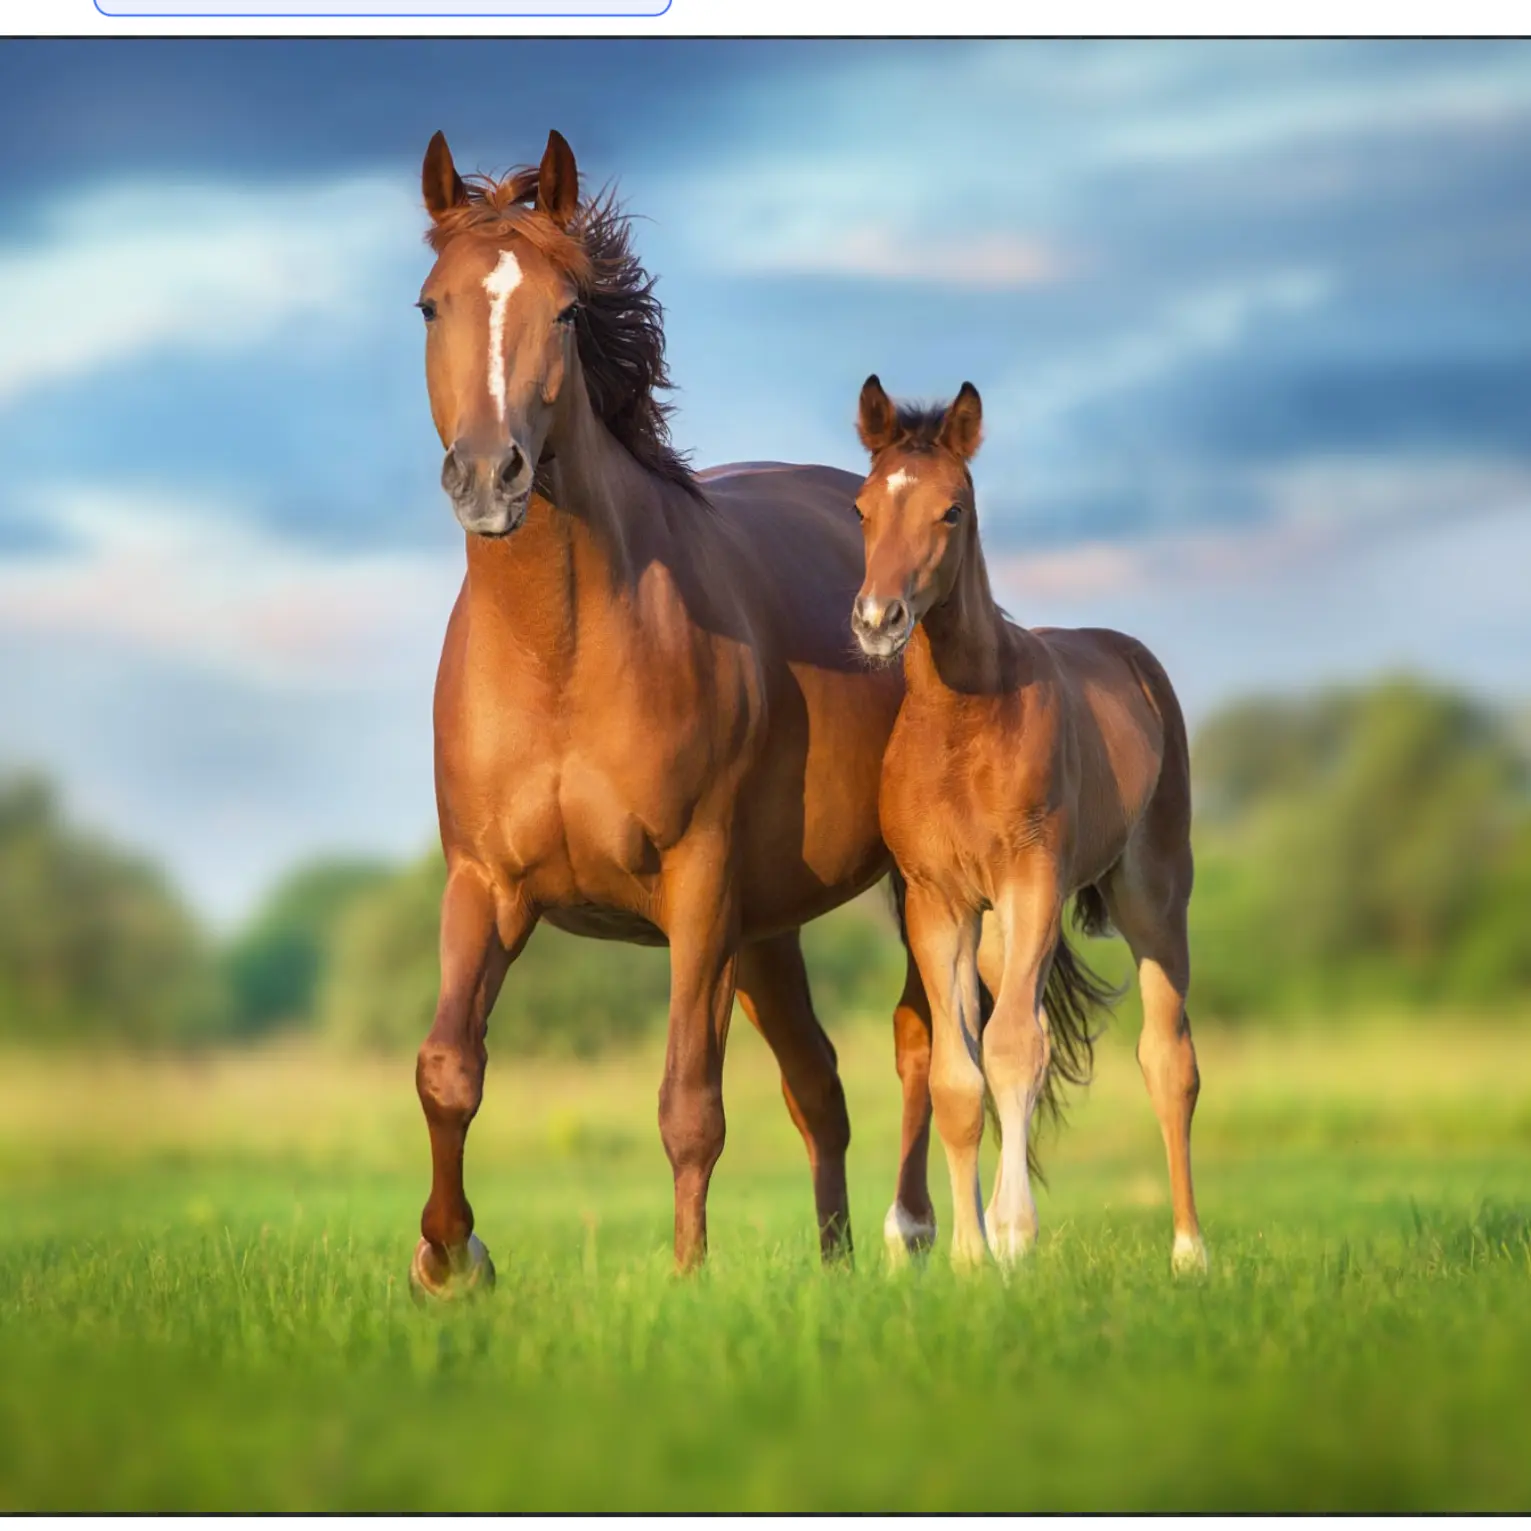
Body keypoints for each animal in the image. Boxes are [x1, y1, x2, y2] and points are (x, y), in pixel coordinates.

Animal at [406, 128, 940, 1297]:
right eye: (431, 305)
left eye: (566, 309)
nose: (488, 476)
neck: (558, 656)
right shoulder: (484, 884)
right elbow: (448, 1069)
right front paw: (449, 1259)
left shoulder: (696, 889)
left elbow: (688, 1105)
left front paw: (688, 1279)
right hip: (769, 929)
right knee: (819, 1086)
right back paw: (834, 1264)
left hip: (896, 891)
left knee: (926, 1041)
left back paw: (914, 1233)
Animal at [846, 375, 1208, 1274]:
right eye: (862, 507)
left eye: (951, 510)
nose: (876, 619)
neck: (960, 721)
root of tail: (1132, 658)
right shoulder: (937, 902)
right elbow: (958, 1074)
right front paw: (970, 1255)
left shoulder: (1030, 880)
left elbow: (1011, 1049)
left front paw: (1011, 1236)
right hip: (1004, 933)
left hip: (1150, 897)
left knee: (1167, 1059)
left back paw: (1190, 1251)